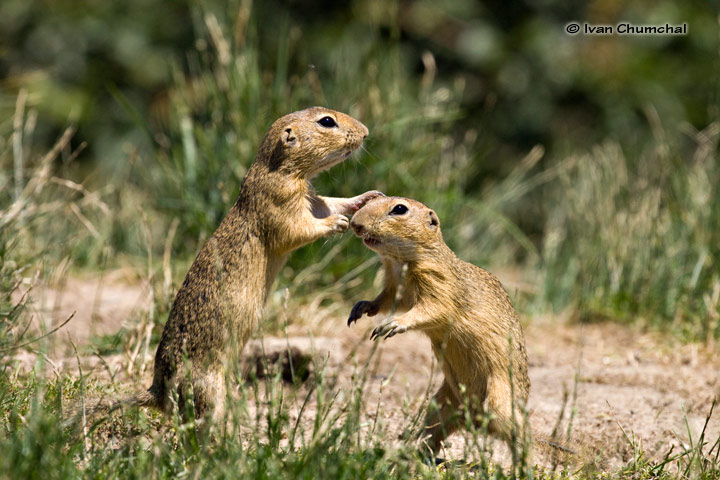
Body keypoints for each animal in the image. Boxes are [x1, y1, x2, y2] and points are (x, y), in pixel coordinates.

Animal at [145, 107, 382, 418]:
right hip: (208, 387)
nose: (366, 132)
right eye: (327, 121)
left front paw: (368, 197)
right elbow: (301, 229)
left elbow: (331, 202)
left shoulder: (312, 199)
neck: (279, 170)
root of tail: (156, 394)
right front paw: (338, 222)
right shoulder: (282, 205)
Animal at [346, 196, 532, 458]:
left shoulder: (437, 284)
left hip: (501, 403)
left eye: (399, 209)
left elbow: (431, 309)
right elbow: (385, 300)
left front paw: (392, 325)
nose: (355, 224)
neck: (399, 261)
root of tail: (473, 417)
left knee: (522, 437)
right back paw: (416, 454)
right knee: (436, 432)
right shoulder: (395, 287)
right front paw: (361, 308)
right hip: (442, 404)